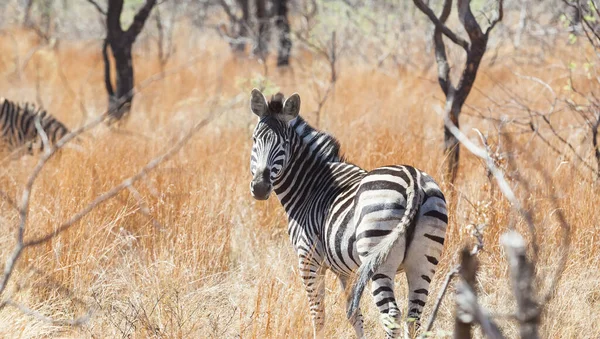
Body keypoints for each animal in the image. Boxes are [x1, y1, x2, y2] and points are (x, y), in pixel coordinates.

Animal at [246, 89, 448, 338]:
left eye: (283, 144)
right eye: (255, 140)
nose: (260, 187)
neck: (311, 186)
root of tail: (414, 181)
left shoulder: (308, 259)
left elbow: (318, 314)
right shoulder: (347, 270)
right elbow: (353, 313)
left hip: (378, 258)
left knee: (391, 314)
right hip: (423, 261)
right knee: (414, 316)